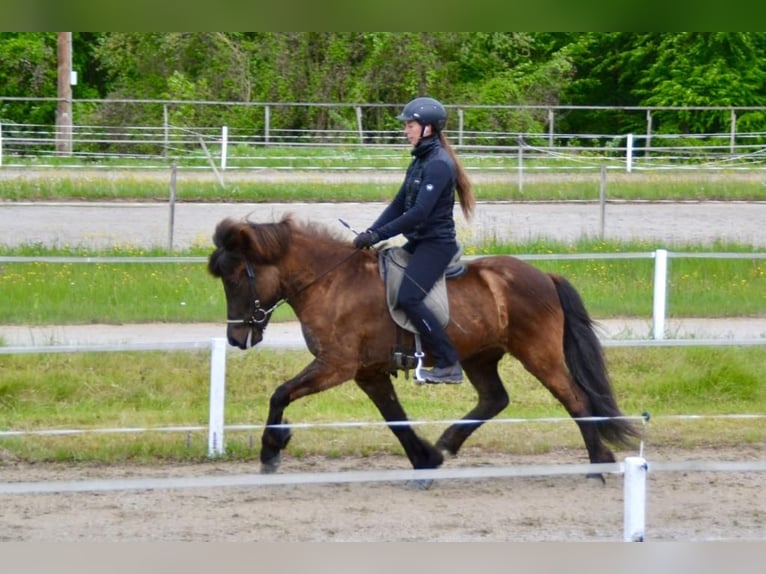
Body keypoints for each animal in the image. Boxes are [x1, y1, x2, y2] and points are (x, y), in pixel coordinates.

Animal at [207, 214, 639, 476]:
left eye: (236, 277)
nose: (236, 338)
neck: (331, 282)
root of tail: (545, 275)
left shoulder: (337, 366)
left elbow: (280, 394)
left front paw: (271, 450)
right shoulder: (368, 372)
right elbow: (393, 416)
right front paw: (425, 458)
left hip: (538, 353)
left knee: (575, 399)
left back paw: (598, 463)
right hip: (480, 356)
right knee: (495, 399)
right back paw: (448, 442)